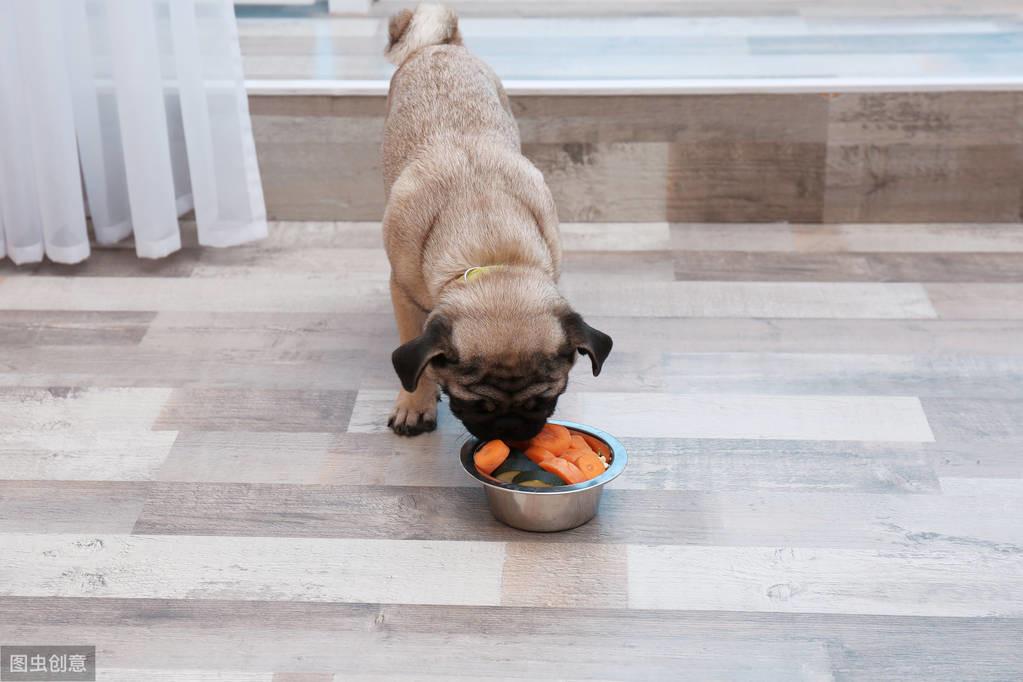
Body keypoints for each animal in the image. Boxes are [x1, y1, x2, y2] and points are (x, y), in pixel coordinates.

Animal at [382, 3, 605, 443]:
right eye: (473, 403)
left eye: (546, 400)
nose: (511, 429)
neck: (492, 250)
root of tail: (440, 45)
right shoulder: (404, 295)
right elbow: (414, 360)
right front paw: (416, 402)